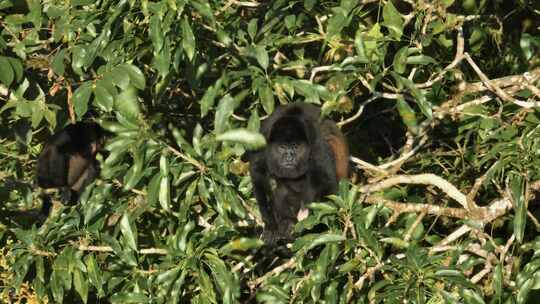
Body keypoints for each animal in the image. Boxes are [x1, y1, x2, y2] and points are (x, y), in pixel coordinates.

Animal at [245, 102, 350, 245]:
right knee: (275, 183)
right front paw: (271, 225)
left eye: (295, 146)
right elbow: (258, 172)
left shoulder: (316, 140)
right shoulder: (265, 135)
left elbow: (328, 182)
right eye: (282, 147)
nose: (289, 157)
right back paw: (287, 222)